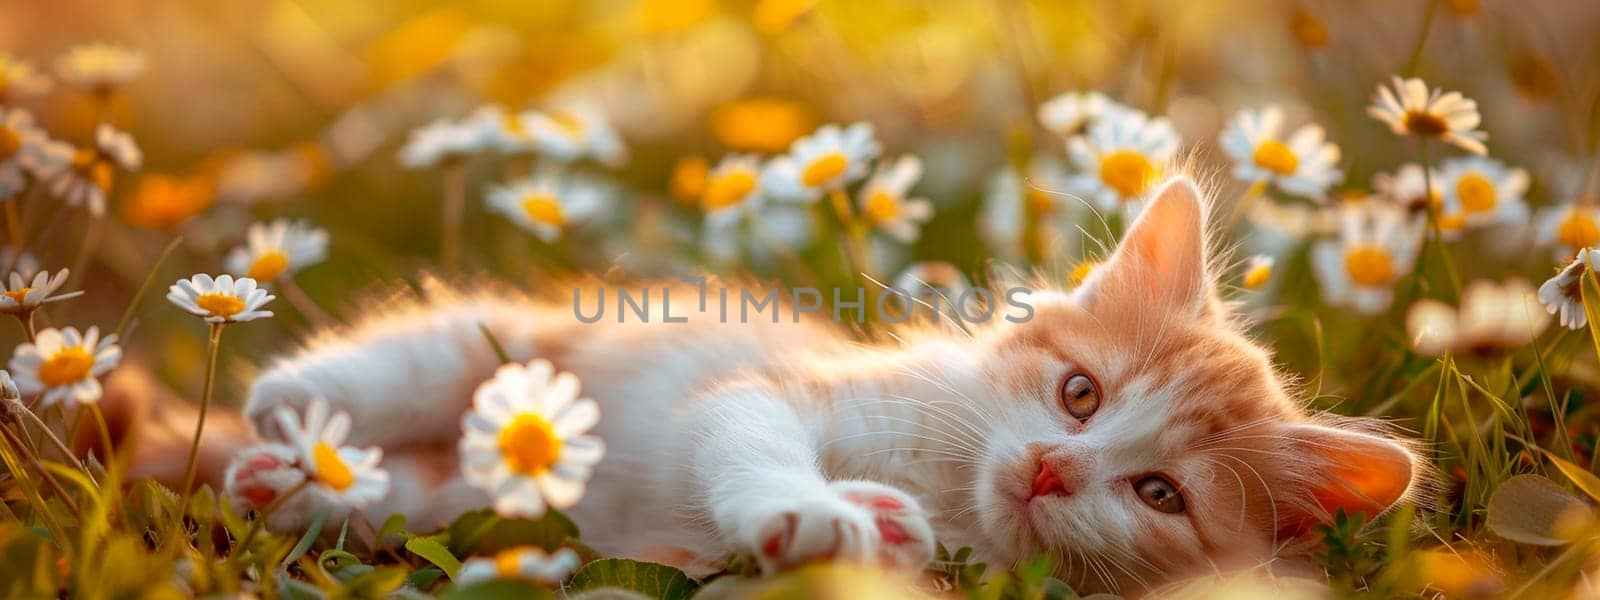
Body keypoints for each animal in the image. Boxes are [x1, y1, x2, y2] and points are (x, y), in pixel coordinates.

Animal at [203, 178, 1427, 598]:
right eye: (1080, 394)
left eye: (1159, 495)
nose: (1049, 468)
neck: (947, 479)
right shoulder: (772, 389)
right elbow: (747, 440)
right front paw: (811, 510)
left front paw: (862, 535)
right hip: (518, 352)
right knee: (422, 365)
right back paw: (296, 421)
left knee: (420, 498)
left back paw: (302, 490)